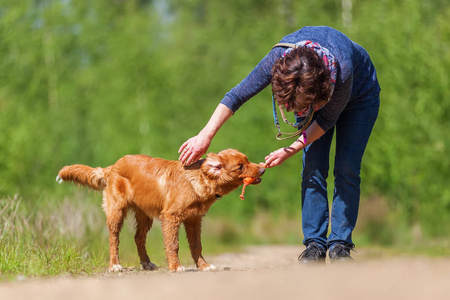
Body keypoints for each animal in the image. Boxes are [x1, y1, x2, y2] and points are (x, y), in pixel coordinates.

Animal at [56, 149, 264, 274]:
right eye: (240, 166)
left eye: (247, 160)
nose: (262, 170)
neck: (197, 179)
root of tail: (112, 167)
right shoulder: (171, 217)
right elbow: (173, 244)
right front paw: (176, 266)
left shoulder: (194, 219)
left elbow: (197, 245)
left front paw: (204, 266)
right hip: (117, 210)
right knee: (114, 238)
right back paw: (115, 265)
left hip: (144, 215)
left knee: (138, 237)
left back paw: (146, 263)